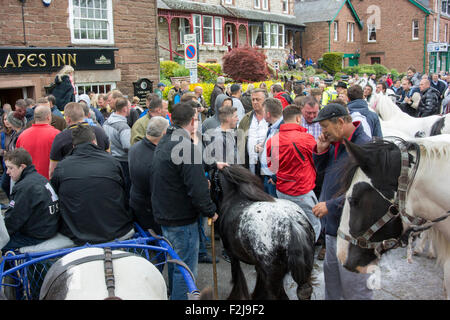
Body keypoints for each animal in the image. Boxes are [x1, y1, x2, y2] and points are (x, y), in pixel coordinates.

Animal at [209, 165, 314, 300]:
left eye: (210, 179)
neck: (233, 199)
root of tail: (293, 224)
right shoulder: (258, 264)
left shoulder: (232, 255)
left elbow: (236, 275)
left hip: (273, 276)